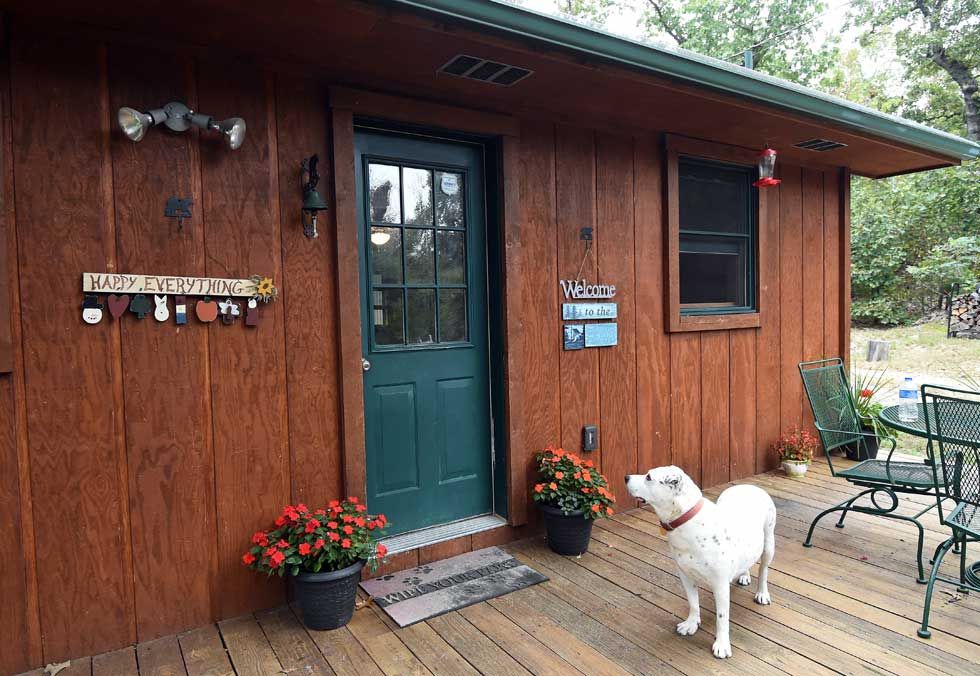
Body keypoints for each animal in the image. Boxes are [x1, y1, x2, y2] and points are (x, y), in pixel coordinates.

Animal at [624, 468, 776, 656]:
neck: (686, 521)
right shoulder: (685, 575)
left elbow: (722, 617)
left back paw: (762, 593)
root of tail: (750, 486)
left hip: (769, 544)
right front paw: (691, 624)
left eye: (649, 477)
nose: (626, 477)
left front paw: (722, 644)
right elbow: (693, 603)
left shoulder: (720, 586)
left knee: (764, 571)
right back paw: (744, 575)